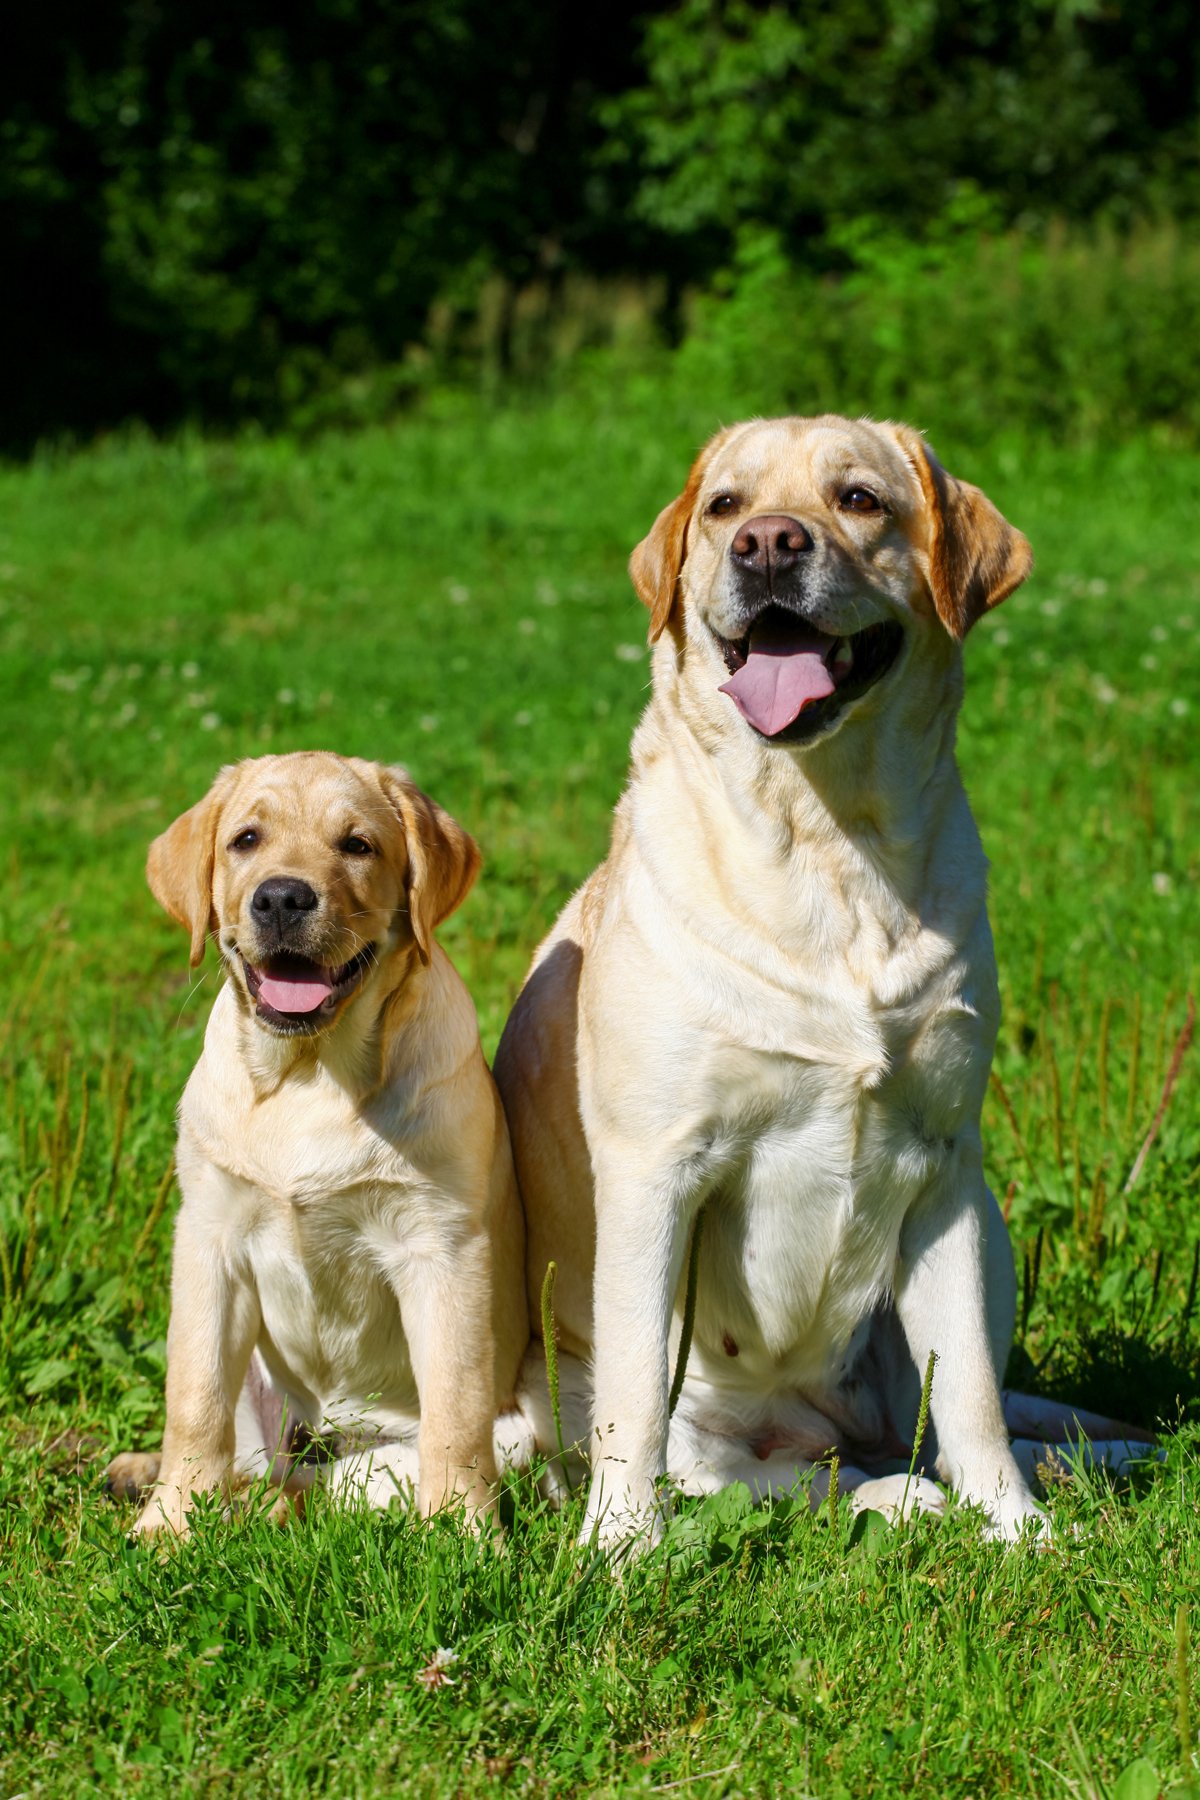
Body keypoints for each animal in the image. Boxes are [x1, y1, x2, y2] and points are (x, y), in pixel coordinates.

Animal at [111, 752, 525, 1540]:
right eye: (245, 840)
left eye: (357, 845)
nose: (280, 898)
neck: (309, 1074)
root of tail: (326, 1432)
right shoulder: (209, 1238)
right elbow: (194, 1397)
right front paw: (170, 1524)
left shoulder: (442, 1247)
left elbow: (455, 1412)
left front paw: (465, 1534)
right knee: (249, 1459)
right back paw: (146, 1474)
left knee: (324, 1485)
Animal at [492, 412, 1043, 1548]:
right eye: (725, 507)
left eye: (860, 499)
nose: (769, 546)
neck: (828, 841)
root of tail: (812, 1424)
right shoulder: (656, 1168)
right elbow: (633, 1405)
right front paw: (619, 1550)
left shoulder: (947, 1168)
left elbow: (970, 1388)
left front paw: (1020, 1530)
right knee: (746, 1471)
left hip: (990, 1232)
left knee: (917, 1429)